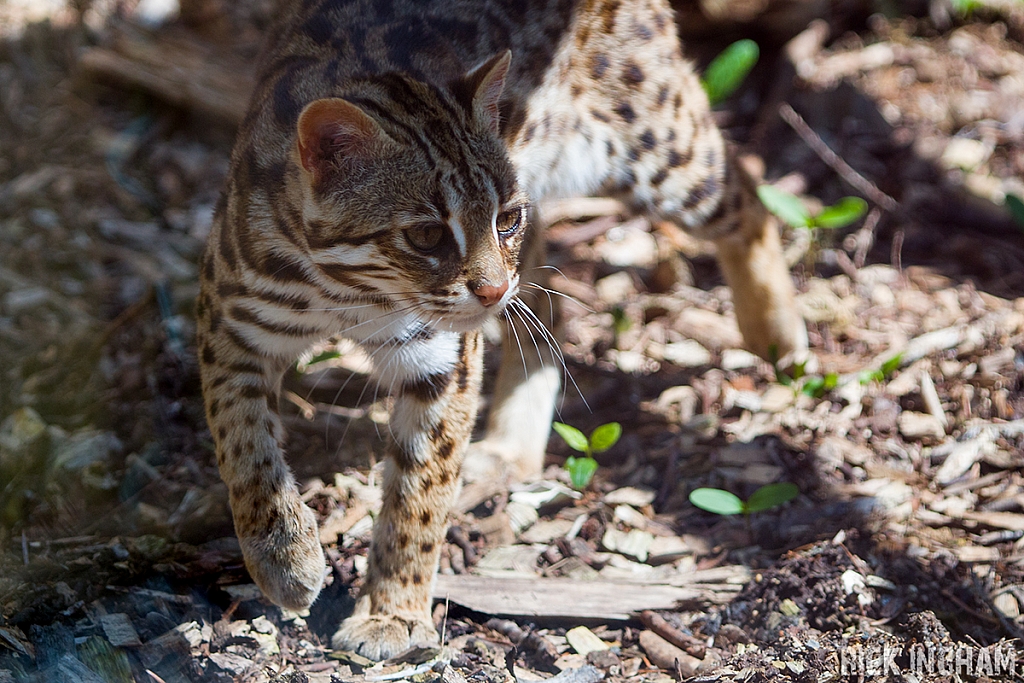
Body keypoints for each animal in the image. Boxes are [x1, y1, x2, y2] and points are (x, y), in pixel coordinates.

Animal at [195, 0, 806, 663]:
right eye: (426, 235)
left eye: (504, 219)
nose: (488, 292)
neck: (349, 290)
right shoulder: (228, 323)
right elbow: (241, 444)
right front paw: (284, 556)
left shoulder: (440, 359)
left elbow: (420, 495)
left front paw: (394, 612)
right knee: (544, 301)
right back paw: (512, 446)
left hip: (657, 148)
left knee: (747, 192)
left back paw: (779, 335)